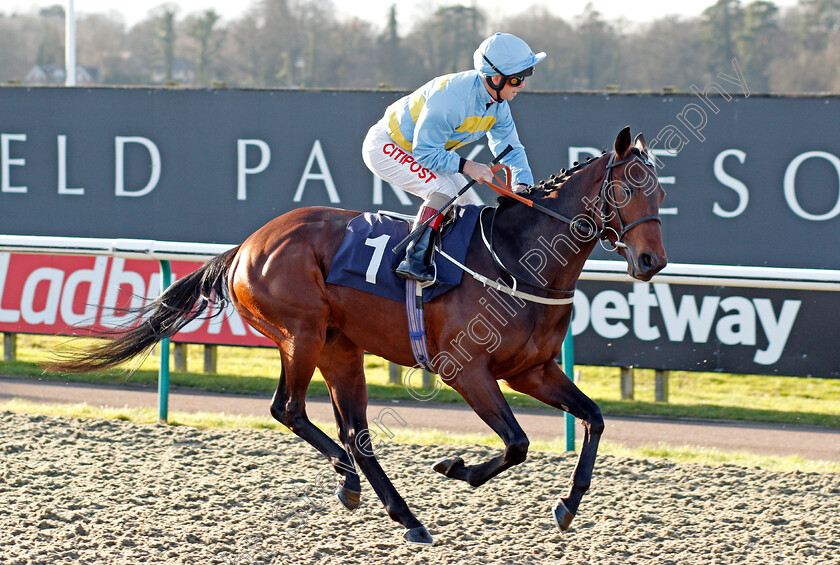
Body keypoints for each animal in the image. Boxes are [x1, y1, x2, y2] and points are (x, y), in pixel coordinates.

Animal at [50, 126, 668, 540]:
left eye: (660, 193)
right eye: (626, 191)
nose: (651, 262)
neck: (517, 258)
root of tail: (249, 243)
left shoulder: (532, 370)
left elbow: (593, 418)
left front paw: (567, 504)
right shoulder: (467, 370)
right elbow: (516, 443)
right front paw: (456, 468)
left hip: (340, 348)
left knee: (356, 434)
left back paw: (400, 513)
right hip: (301, 332)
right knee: (289, 409)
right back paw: (357, 485)